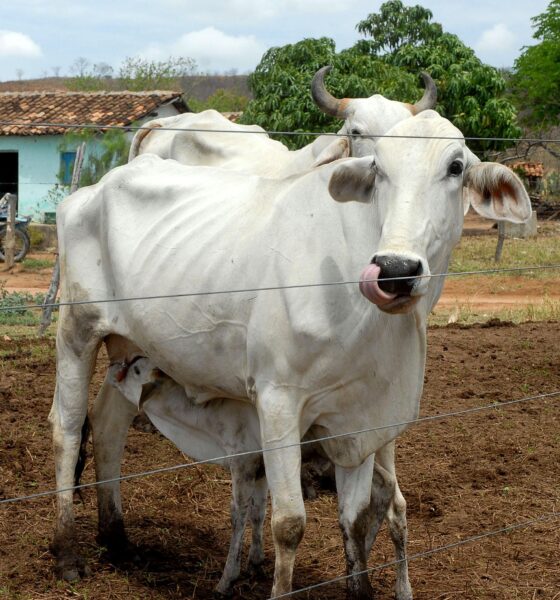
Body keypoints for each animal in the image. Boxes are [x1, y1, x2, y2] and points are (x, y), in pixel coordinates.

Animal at [49, 110, 528, 596]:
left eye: (455, 167)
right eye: (378, 168)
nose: (394, 271)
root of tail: (95, 188)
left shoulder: (360, 420)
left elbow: (355, 519)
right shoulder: (277, 402)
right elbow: (289, 524)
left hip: (131, 347)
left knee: (109, 425)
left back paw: (117, 539)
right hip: (76, 331)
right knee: (67, 429)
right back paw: (67, 552)